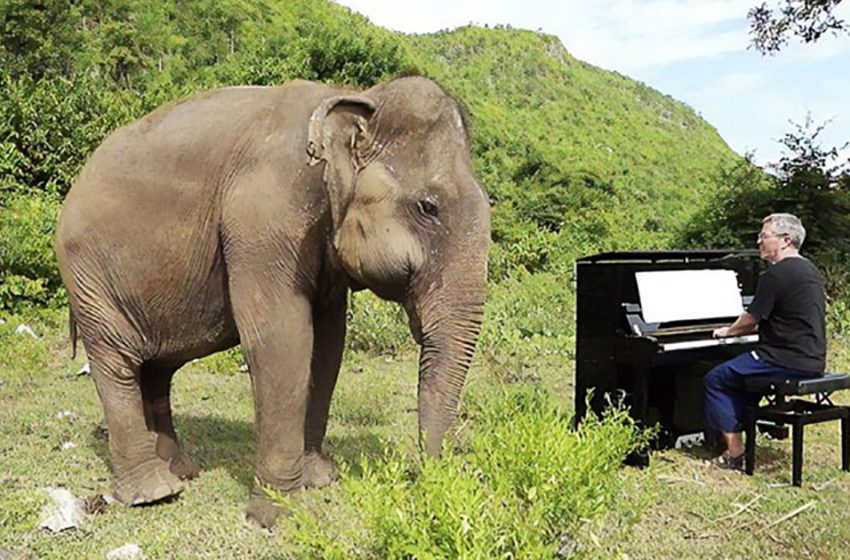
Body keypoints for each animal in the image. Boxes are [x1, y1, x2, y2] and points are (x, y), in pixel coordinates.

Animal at [53, 74, 490, 524]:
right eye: (428, 207)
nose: (429, 477)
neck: (355, 97)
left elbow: (328, 344)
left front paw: (318, 479)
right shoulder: (263, 220)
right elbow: (281, 339)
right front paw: (277, 512)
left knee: (157, 369)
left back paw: (181, 472)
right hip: (88, 277)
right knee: (117, 363)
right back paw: (154, 492)